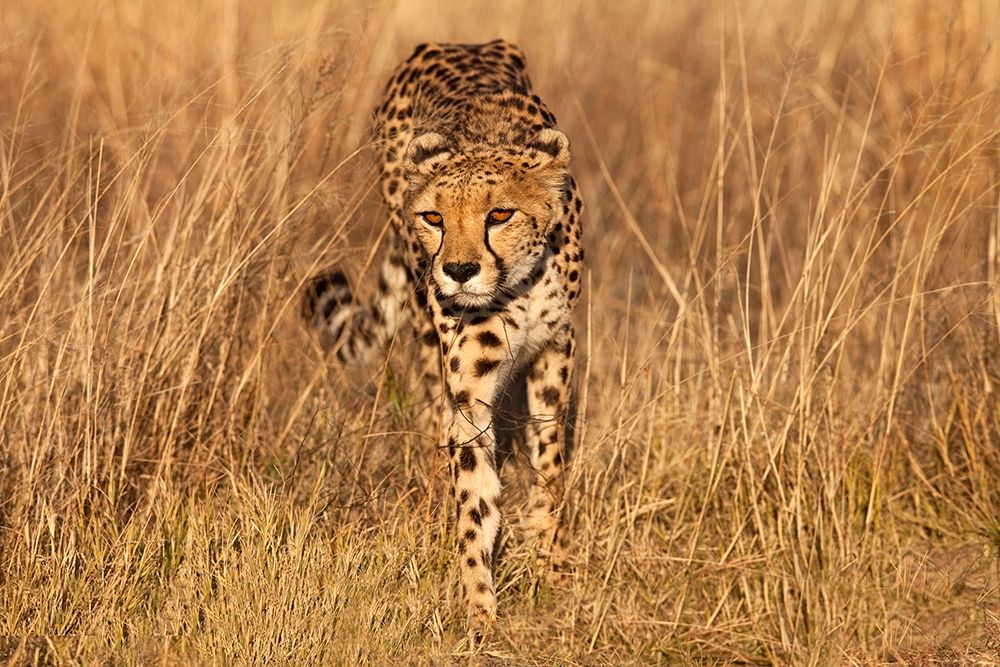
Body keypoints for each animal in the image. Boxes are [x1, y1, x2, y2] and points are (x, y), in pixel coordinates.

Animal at [304, 37, 584, 640]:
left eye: (499, 213)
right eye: (433, 217)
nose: (456, 271)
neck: (516, 284)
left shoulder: (557, 347)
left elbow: (550, 462)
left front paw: (551, 561)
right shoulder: (469, 387)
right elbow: (473, 492)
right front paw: (480, 609)